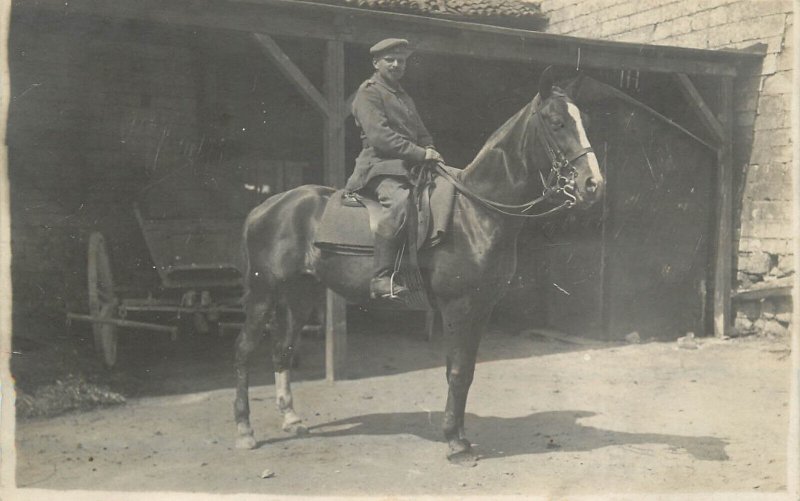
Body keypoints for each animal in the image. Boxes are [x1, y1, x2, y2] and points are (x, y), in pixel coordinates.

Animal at [234, 69, 604, 460]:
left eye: (585, 121)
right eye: (556, 122)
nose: (593, 185)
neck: (476, 211)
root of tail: (266, 206)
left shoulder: (482, 308)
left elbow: (466, 371)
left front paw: (459, 434)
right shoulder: (457, 307)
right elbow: (457, 372)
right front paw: (455, 441)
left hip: (300, 295)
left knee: (282, 349)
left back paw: (291, 419)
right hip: (263, 294)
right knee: (244, 351)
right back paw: (245, 430)